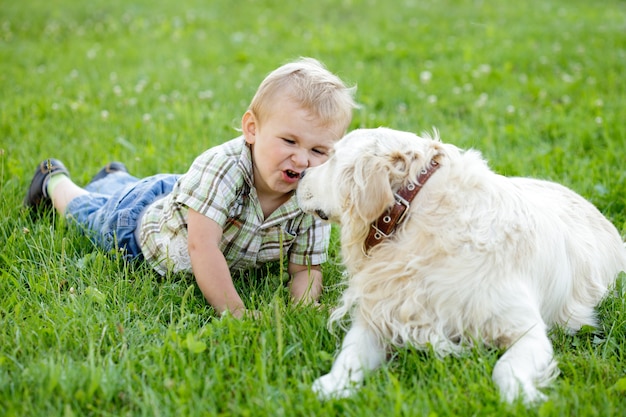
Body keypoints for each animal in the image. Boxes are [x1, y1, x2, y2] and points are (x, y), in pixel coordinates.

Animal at [294, 127, 624, 404]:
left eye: (332, 158)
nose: (300, 174)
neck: (420, 222)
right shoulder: (381, 315)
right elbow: (349, 354)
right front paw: (330, 386)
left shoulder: (527, 331)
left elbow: (505, 367)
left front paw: (523, 397)